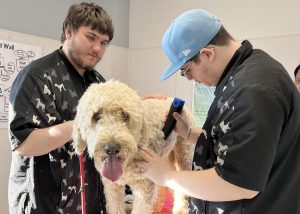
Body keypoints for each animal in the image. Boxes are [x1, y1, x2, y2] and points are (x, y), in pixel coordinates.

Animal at [74, 80, 193, 214]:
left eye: (124, 115)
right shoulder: (112, 187)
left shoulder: (144, 187)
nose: (112, 148)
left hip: (183, 155)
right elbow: (115, 207)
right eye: (96, 116)